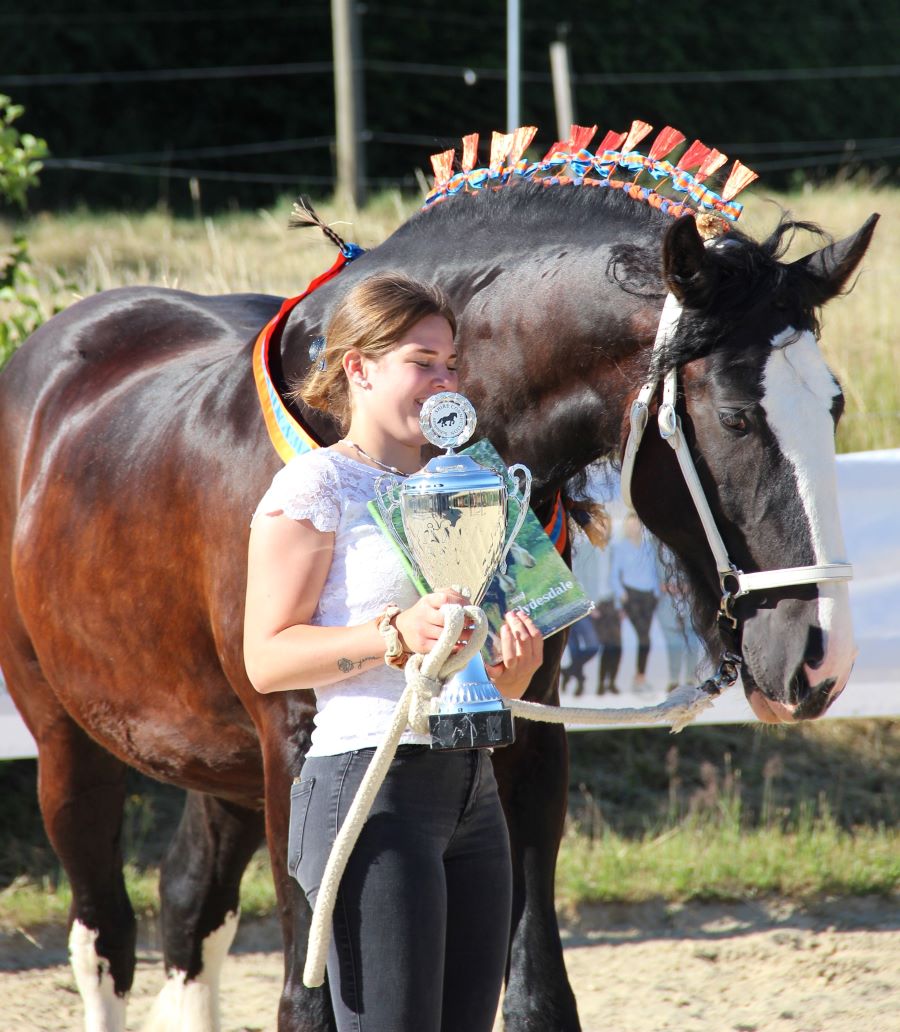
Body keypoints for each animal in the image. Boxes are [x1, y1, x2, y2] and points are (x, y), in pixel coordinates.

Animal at [0, 147, 876, 1032]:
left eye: (834, 406)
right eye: (734, 417)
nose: (820, 661)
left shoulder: (529, 736)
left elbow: (537, 993)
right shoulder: (295, 751)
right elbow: (306, 1002)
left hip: (223, 762)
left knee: (188, 911)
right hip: (68, 737)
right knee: (105, 938)